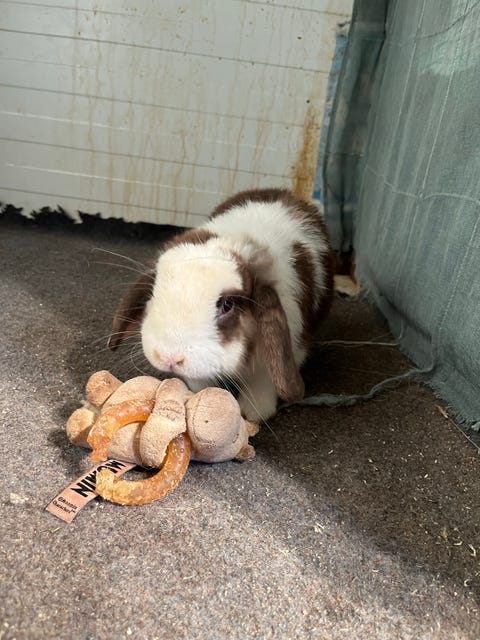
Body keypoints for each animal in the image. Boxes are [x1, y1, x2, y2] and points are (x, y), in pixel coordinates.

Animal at [108, 188, 334, 422]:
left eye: (227, 304)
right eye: (154, 291)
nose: (168, 357)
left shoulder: (277, 357)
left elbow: (263, 383)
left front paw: (251, 414)